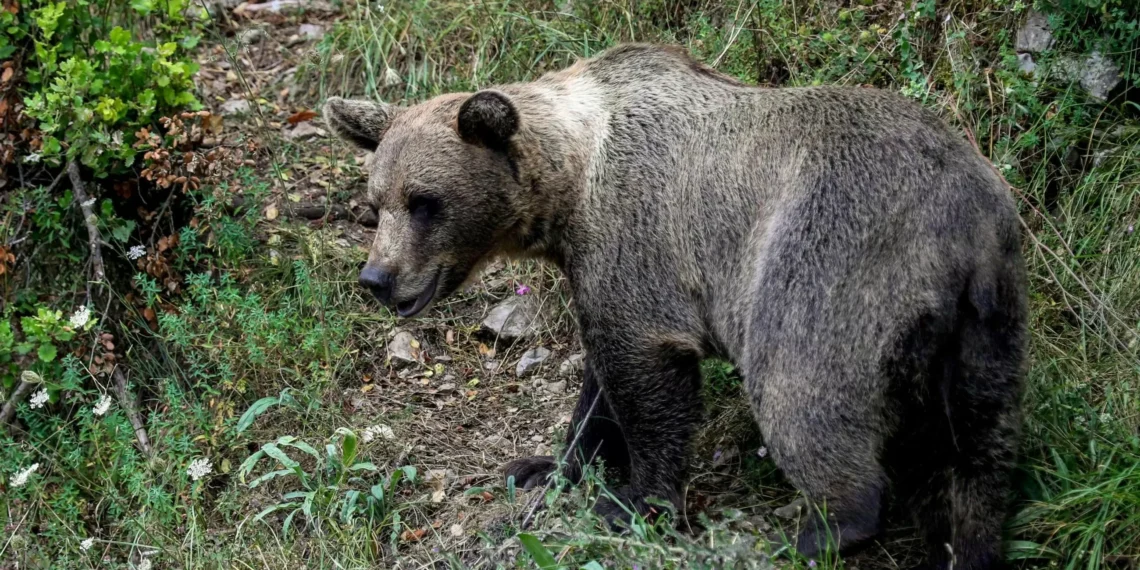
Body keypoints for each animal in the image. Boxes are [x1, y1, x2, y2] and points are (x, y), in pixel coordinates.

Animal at [324, 43, 1028, 570]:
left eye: (425, 201)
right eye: (377, 201)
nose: (379, 278)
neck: (571, 186)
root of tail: (969, 220)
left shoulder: (637, 241)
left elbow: (644, 375)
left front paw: (634, 500)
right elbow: (597, 387)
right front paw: (546, 466)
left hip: (829, 263)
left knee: (803, 394)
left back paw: (813, 533)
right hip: (986, 321)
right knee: (978, 447)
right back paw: (966, 545)